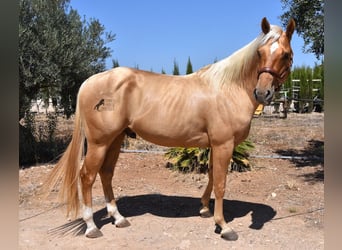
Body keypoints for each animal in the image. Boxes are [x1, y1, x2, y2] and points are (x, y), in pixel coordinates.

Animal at [45, 17, 296, 240]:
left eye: (285, 54)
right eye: (259, 53)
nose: (262, 93)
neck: (229, 88)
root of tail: (90, 82)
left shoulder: (214, 145)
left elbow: (211, 176)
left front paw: (204, 209)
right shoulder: (224, 144)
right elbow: (221, 183)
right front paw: (224, 226)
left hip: (115, 140)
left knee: (106, 174)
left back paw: (118, 218)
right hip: (99, 143)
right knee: (87, 176)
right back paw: (91, 227)